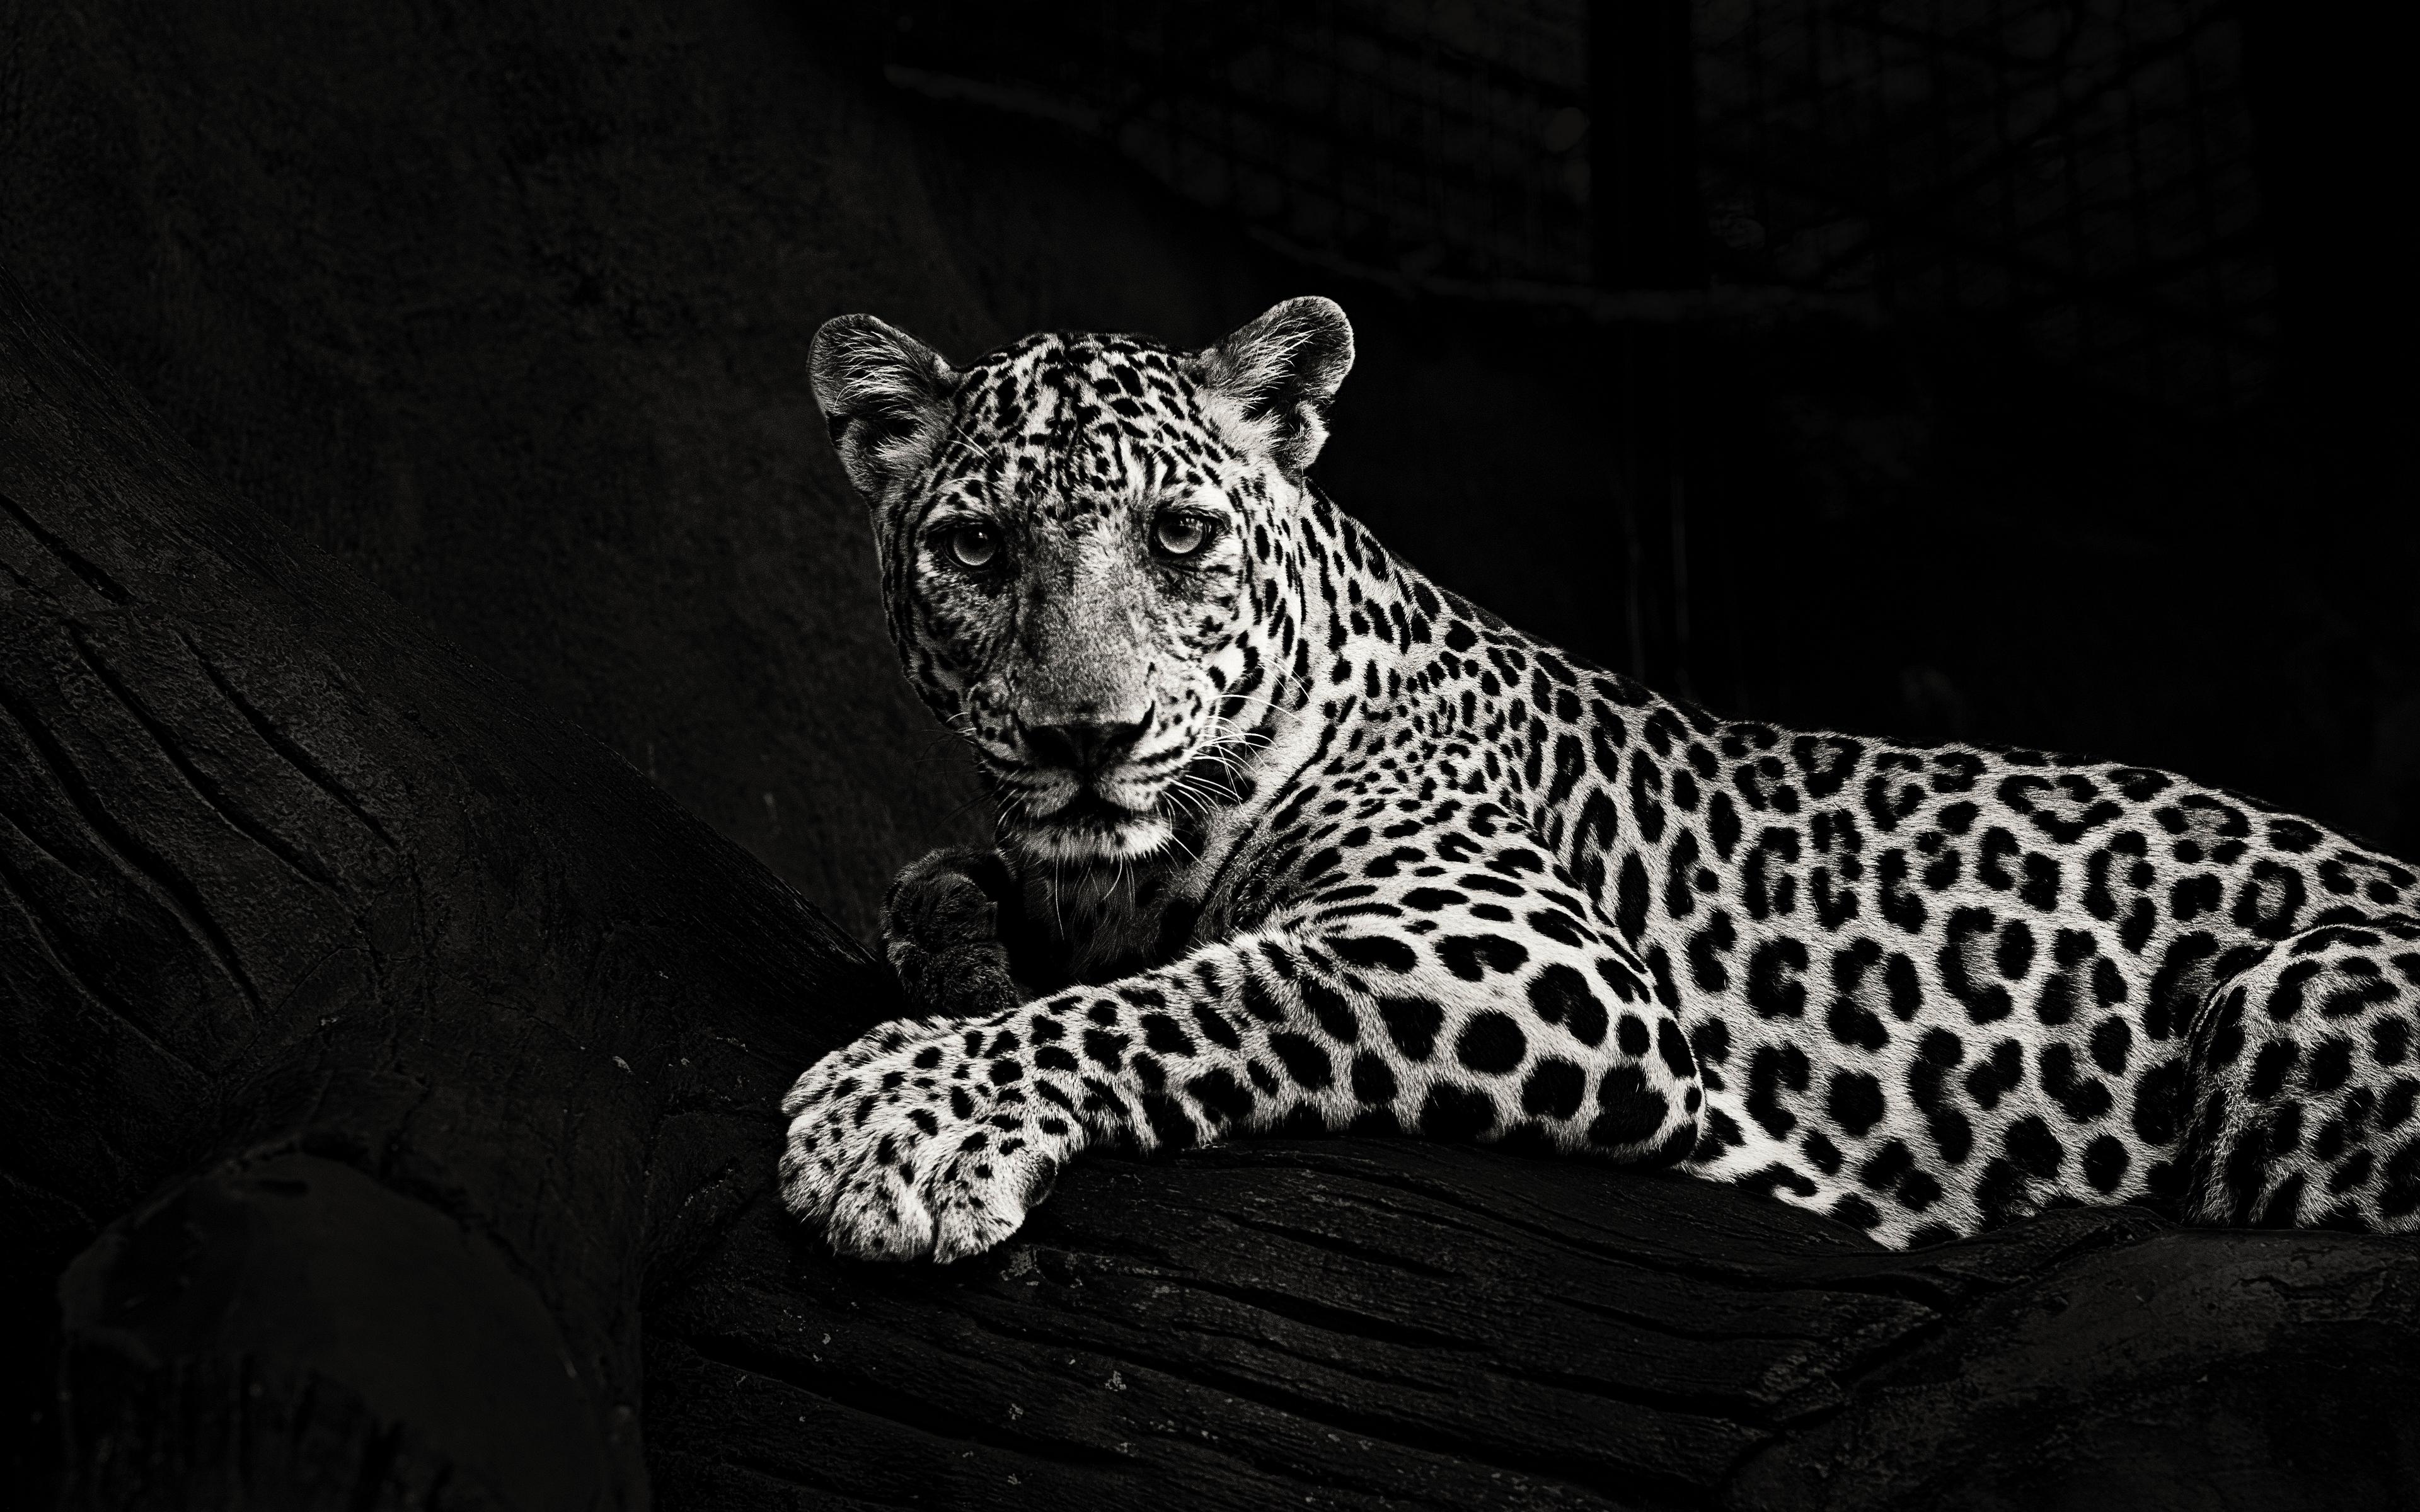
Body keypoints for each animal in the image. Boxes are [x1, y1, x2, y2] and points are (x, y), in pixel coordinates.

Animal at [780, 295, 2420, 1263]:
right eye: (975, 549)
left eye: (1178, 537)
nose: (1087, 735)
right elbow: (942, 892)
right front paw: (963, 963)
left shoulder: (1517, 947)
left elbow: (1207, 992)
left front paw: (896, 1116)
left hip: (2296, 994)